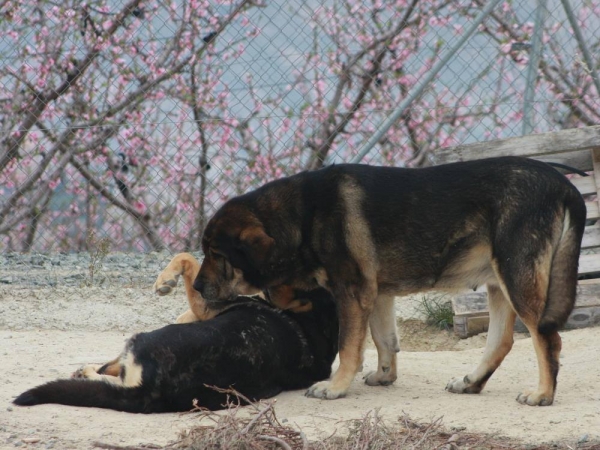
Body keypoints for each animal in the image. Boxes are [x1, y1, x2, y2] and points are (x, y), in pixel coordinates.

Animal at [12, 253, 338, 412]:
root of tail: (151, 391)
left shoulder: (206, 306)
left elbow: (188, 260)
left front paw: (165, 280)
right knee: (112, 372)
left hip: (140, 337)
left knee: (110, 373)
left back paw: (87, 373)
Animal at [193, 156, 584, 406]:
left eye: (216, 254)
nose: (196, 287)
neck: (302, 215)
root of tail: (563, 184)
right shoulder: (377, 294)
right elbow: (384, 341)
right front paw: (384, 376)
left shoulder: (352, 293)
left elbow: (349, 347)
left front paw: (336, 387)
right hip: (498, 284)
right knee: (501, 342)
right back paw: (471, 383)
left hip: (517, 279)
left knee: (547, 340)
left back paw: (542, 394)